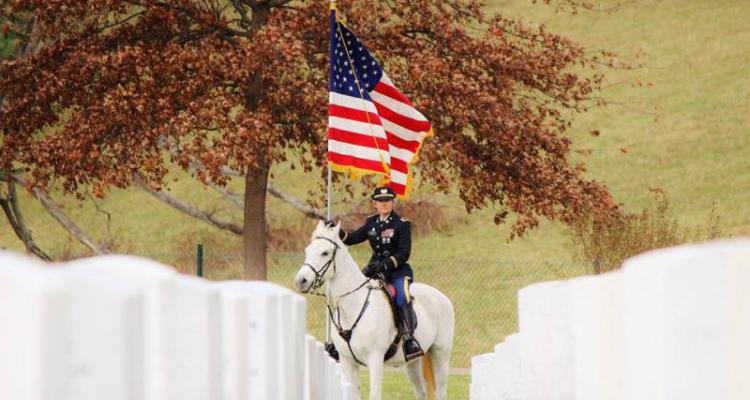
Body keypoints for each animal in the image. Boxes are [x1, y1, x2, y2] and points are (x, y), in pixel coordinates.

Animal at [296, 222, 456, 400]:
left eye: (325, 252)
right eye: (307, 251)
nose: (301, 280)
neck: (353, 306)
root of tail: (441, 297)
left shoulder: (375, 359)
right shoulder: (347, 361)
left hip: (440, 355)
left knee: (440, 391)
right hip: (412, 362)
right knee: (420, 392)